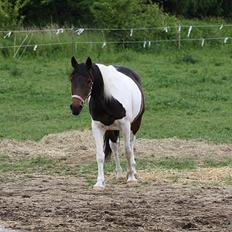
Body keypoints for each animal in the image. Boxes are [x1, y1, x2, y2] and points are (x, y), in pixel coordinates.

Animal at [70, 57, 144, 189]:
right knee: (114, 147)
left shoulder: (126, 125)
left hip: (135, 124)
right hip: (111, 129)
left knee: (131, 145)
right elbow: (100, 155)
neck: (108, 100)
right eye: (71, 79)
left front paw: (131, 178)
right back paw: (119, 174)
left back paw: (133, 171)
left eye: (89, 81)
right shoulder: (97, 127)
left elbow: (128, 151)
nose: (75, 108)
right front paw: (99, 183)